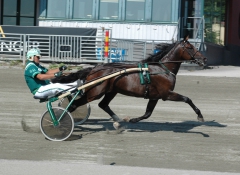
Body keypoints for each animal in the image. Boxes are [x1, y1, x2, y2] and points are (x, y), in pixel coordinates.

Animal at [52, 40, 206, 126]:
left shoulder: (155, 96)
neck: (162, 69)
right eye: (190, 48)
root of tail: (94, 68)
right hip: (95, 92)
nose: (204, 59)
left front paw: (132, 120)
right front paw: (200, 116)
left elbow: (148, 113)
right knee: (75, 104)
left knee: (103, 104)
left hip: (111, 91)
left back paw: (118, 120)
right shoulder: (166, 94)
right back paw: (61, 120)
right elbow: (187, 99)